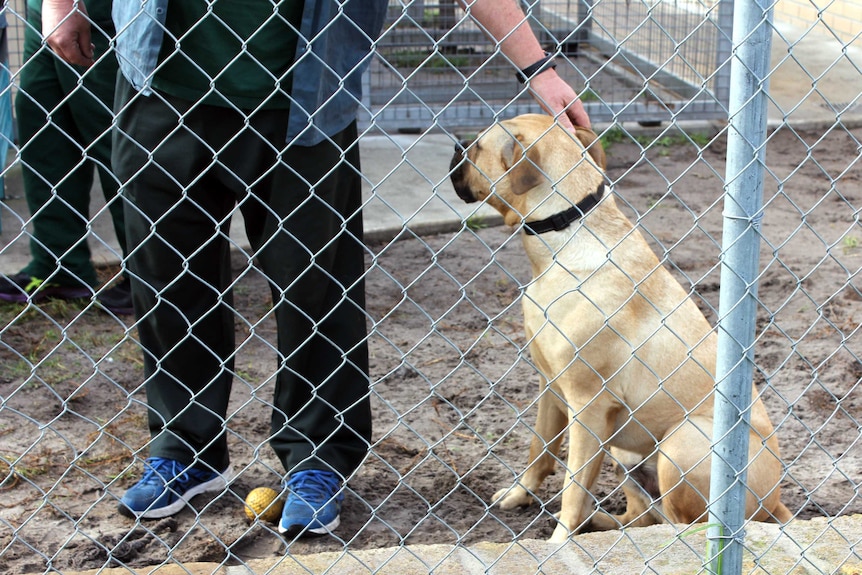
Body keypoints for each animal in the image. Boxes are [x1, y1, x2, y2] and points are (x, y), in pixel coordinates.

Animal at [448, 115, 792, 544]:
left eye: (477, 146)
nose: (455, 145)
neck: (567, 226)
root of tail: (774, 501)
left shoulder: (588, 406)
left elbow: (574, 485)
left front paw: (560, 541)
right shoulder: (550, 386)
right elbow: (539, 450)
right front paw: (519, 495)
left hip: (682, 440)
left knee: (679, 522)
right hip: (625, 453)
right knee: (642, 514)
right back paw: (601, 524)